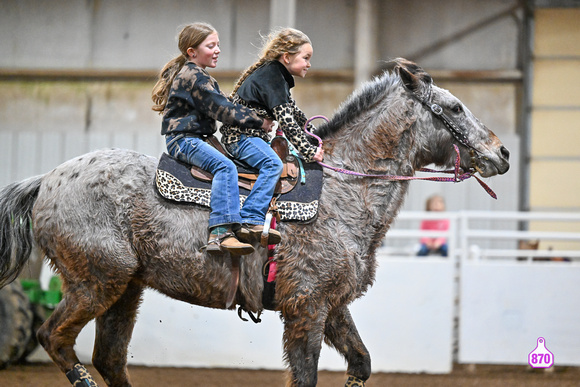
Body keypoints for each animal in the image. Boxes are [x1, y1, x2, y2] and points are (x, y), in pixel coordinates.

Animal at [0, 58, 508, 387]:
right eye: (455, 108)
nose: (501, 152)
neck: (341, 192)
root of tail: (46, 180)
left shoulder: (332, 305)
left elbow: (361, 364)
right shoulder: (306, 307)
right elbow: (305, 376)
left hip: (126, 288)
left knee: (109, 358)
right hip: (97, 281)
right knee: (55, 338)